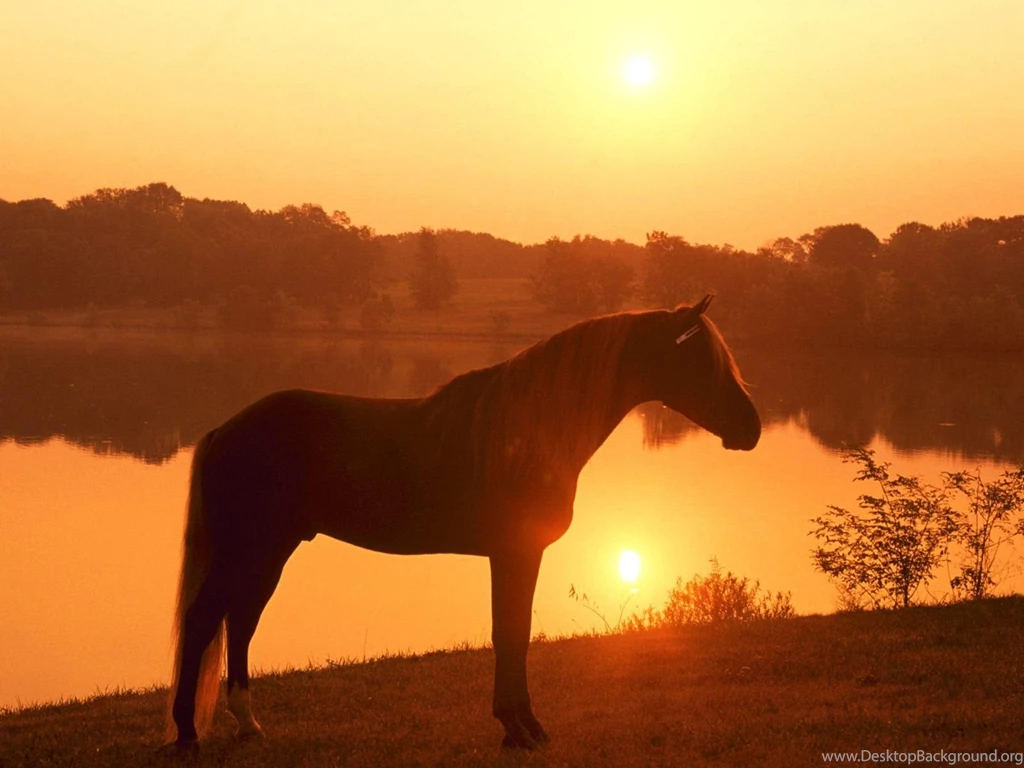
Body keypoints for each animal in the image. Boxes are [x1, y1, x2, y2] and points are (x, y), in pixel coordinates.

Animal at [164, 295, 761, 752]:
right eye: (702, 359)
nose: (751, 428)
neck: (528, 428)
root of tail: (226, 428)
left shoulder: (516, 554)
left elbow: (513, 633)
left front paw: (520, 727)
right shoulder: (516, 552)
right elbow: (511, 633)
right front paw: (521, 729)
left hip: (270, 551)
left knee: (240, 623)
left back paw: (248, 724)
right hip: (247, 550)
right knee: (204, 622)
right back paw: (188, 735)